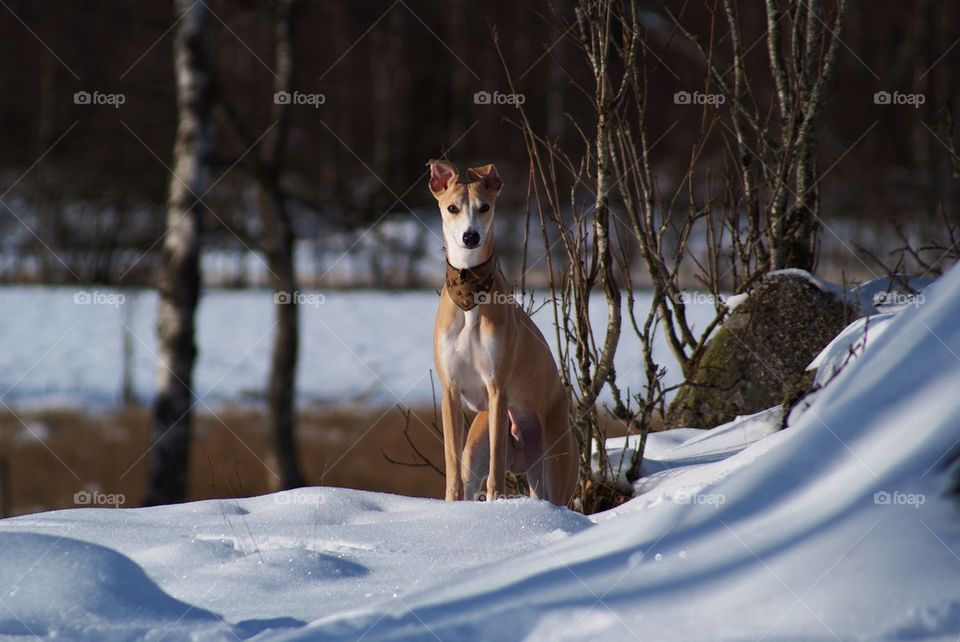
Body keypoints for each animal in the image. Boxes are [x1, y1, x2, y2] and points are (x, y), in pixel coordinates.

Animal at [428, 159, 576, 504]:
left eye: (484, 207)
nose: (470, 236)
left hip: (554, 465)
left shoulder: (497, 389)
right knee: (469, 477)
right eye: (452, 207)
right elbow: (451, 468)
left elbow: (496, 474)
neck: (470, 294)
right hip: (476, 451)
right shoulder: (450, 391)